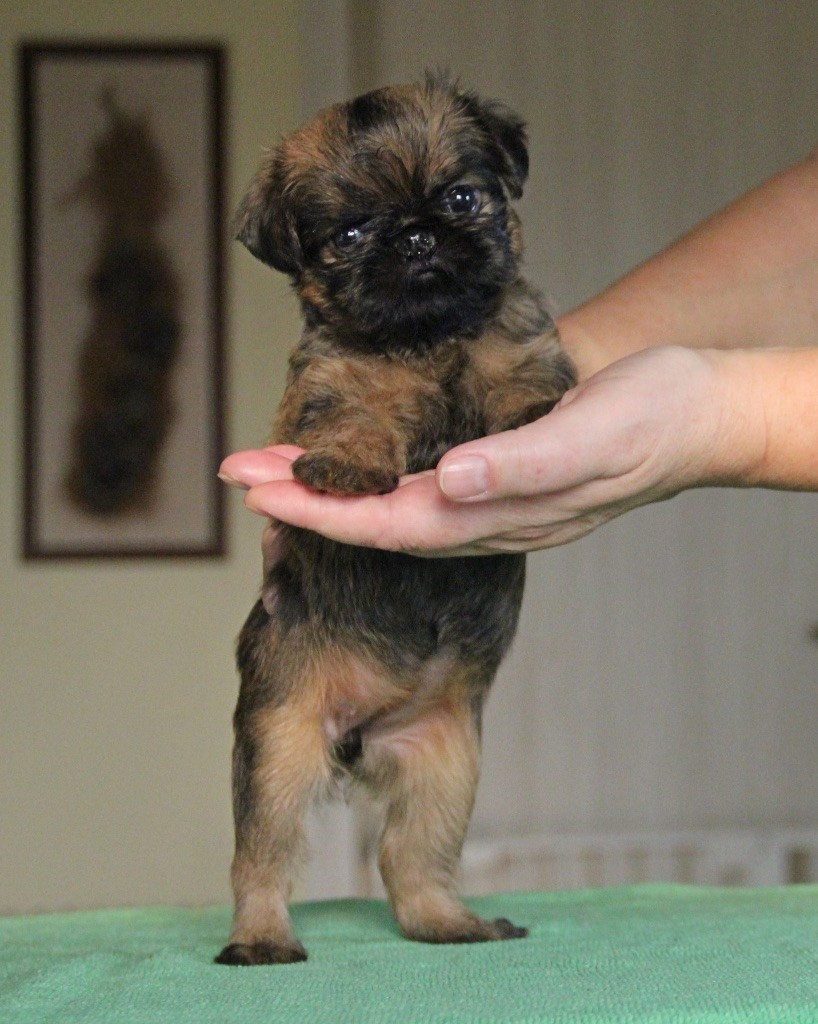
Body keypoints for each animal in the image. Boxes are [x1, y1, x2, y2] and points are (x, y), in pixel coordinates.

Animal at [216, 74, 576, 966]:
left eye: (461, 199)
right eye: (349, 235)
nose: (415, 237)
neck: (428, 339)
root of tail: (361, 733)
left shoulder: (524, 341)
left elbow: (520, 378)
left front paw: (534, 418)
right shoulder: (332, 387)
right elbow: (356, 418)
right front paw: (347, 467)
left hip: (444, 768)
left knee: (412, 864)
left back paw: (451, 924)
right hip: (279, 747)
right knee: (263, 860)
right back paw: (261, 940)